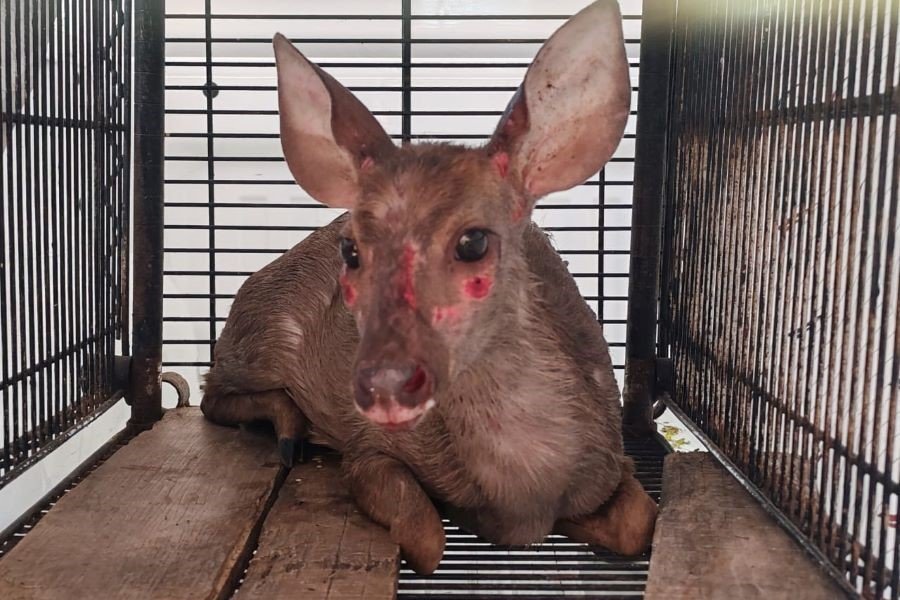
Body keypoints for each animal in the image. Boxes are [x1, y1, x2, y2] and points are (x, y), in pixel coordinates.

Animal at [200, 0, 657, 575]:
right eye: (351, 249)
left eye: (473, 240)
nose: (386, 380)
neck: (525, 488)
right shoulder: (368, 446)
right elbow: (425, 537)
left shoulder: (612, 454)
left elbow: (639, 522)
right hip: (260, 332)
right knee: (211, 394)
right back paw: (290, 428)